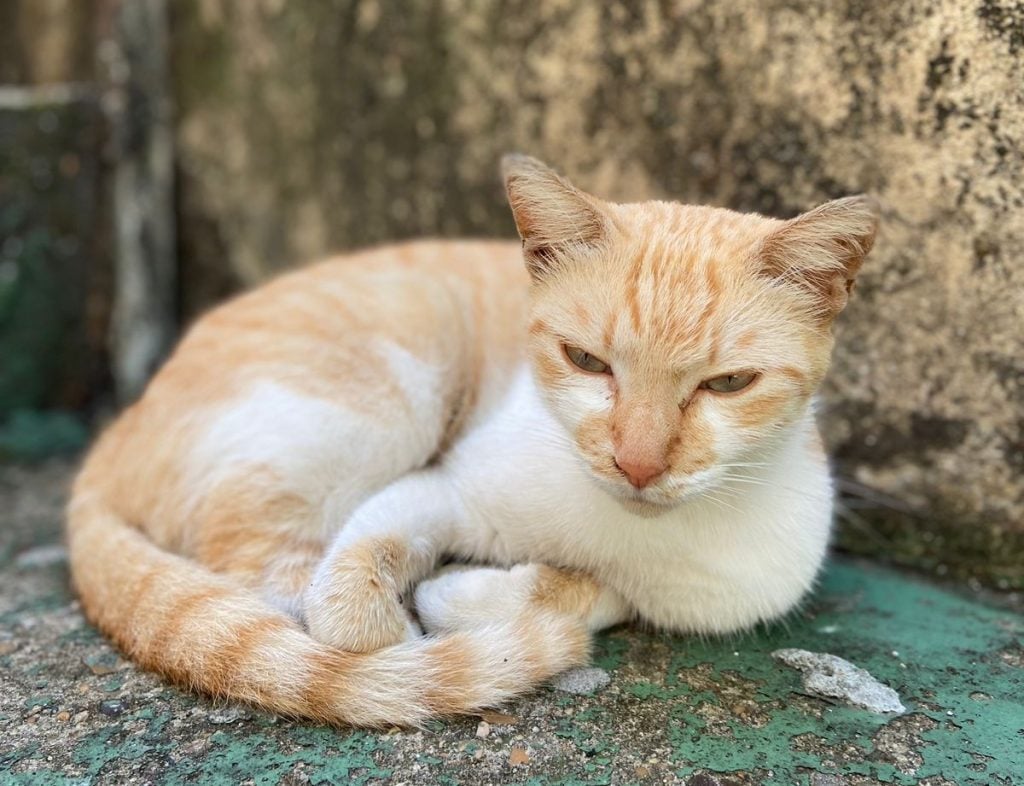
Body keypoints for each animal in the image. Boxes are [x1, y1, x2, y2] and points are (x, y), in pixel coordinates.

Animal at [66, 156, 880, 728]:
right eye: (586, 361)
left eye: (729, 383)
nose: (638, 462)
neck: (629, 533)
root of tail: (117, 434)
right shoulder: (444, 484)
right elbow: (349, 594)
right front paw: (421, 621)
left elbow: (588, 596)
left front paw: (490, 591)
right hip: (393, 396)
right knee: (258, 573)